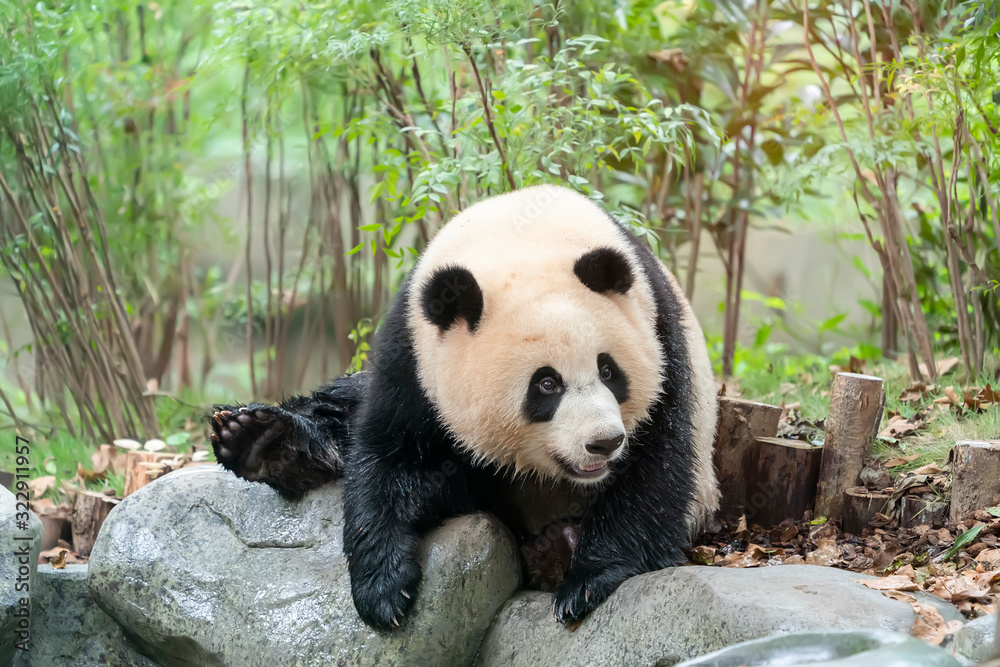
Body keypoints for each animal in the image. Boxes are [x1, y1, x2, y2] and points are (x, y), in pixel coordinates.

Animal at [209, 184, 719, 631]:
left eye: (609, 371)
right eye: (546, 384)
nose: (604, 442)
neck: (524, 231)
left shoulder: (661, 335)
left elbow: (654, 464)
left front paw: (587, 581)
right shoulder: (413, 355)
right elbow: (388, 452)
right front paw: (383, 590)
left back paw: (558, 546)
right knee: (345, 409)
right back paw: (261, 440)